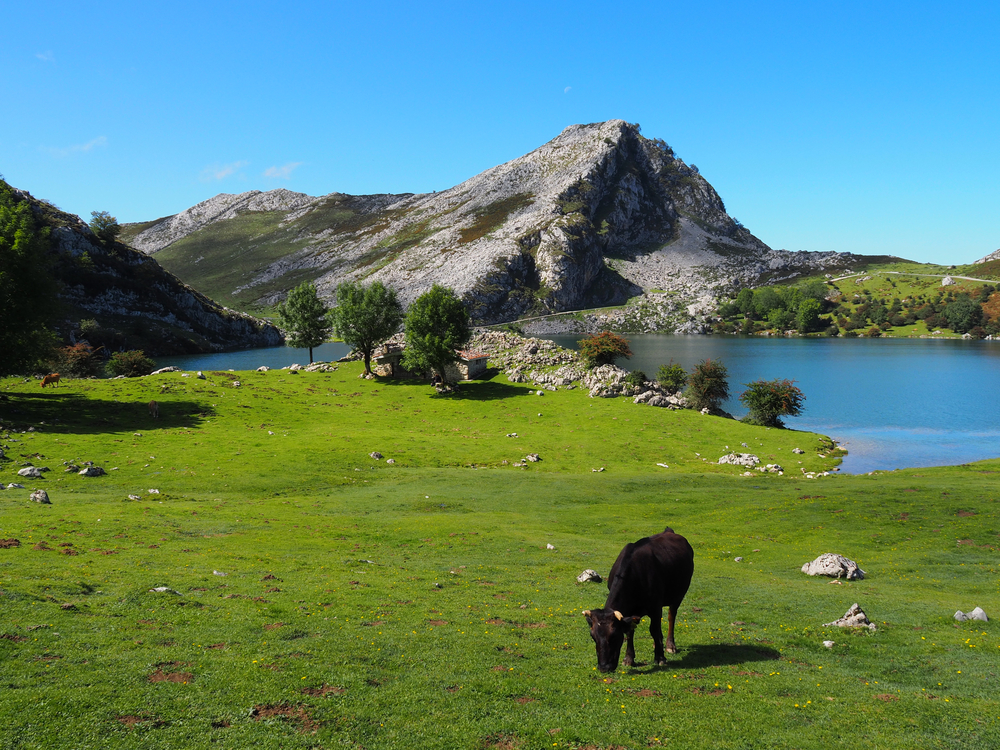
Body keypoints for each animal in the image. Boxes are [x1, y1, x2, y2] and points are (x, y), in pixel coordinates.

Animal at [584, 528, 692, 676]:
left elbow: (654, 630)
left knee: (671, 616)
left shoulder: (655, 607)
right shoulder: (628, 612)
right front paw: (629, 658)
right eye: (593, 636)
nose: (604, 667)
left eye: (614, 636)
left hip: (678, 595)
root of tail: (669, 531)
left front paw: (660, 657)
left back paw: (670, 645)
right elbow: (630, 632)